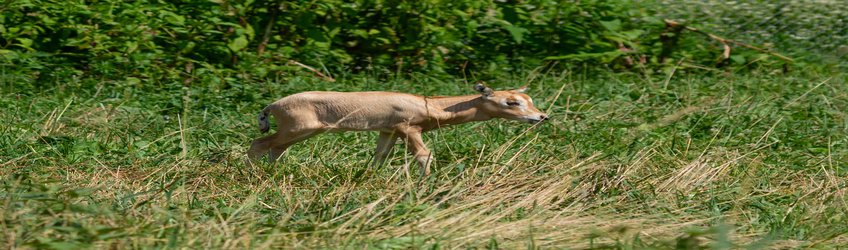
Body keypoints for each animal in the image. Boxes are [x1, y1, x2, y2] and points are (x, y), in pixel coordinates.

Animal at [245, 82, 548, 176]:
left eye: (529, 99)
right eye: (511, 102)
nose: (541, 116)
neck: (430, 105)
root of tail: (272, 105)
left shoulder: (388, 132)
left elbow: (379, 156)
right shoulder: (409, 129)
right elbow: (424, 155)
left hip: (300, 133)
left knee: (274, 149)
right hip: (299, 129)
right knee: (258, 144)